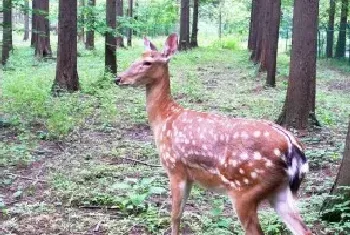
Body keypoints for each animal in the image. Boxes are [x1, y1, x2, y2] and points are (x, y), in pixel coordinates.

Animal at [115, 33, 312, 235]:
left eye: (147, 62)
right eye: (136, 58)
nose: (118, 78)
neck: (165, 118)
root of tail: (293, 148)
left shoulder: (175, 168)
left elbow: (175, 216)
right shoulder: (190, 176)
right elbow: (181, 213)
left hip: (245, 190)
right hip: (279, 192)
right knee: (304, 230)